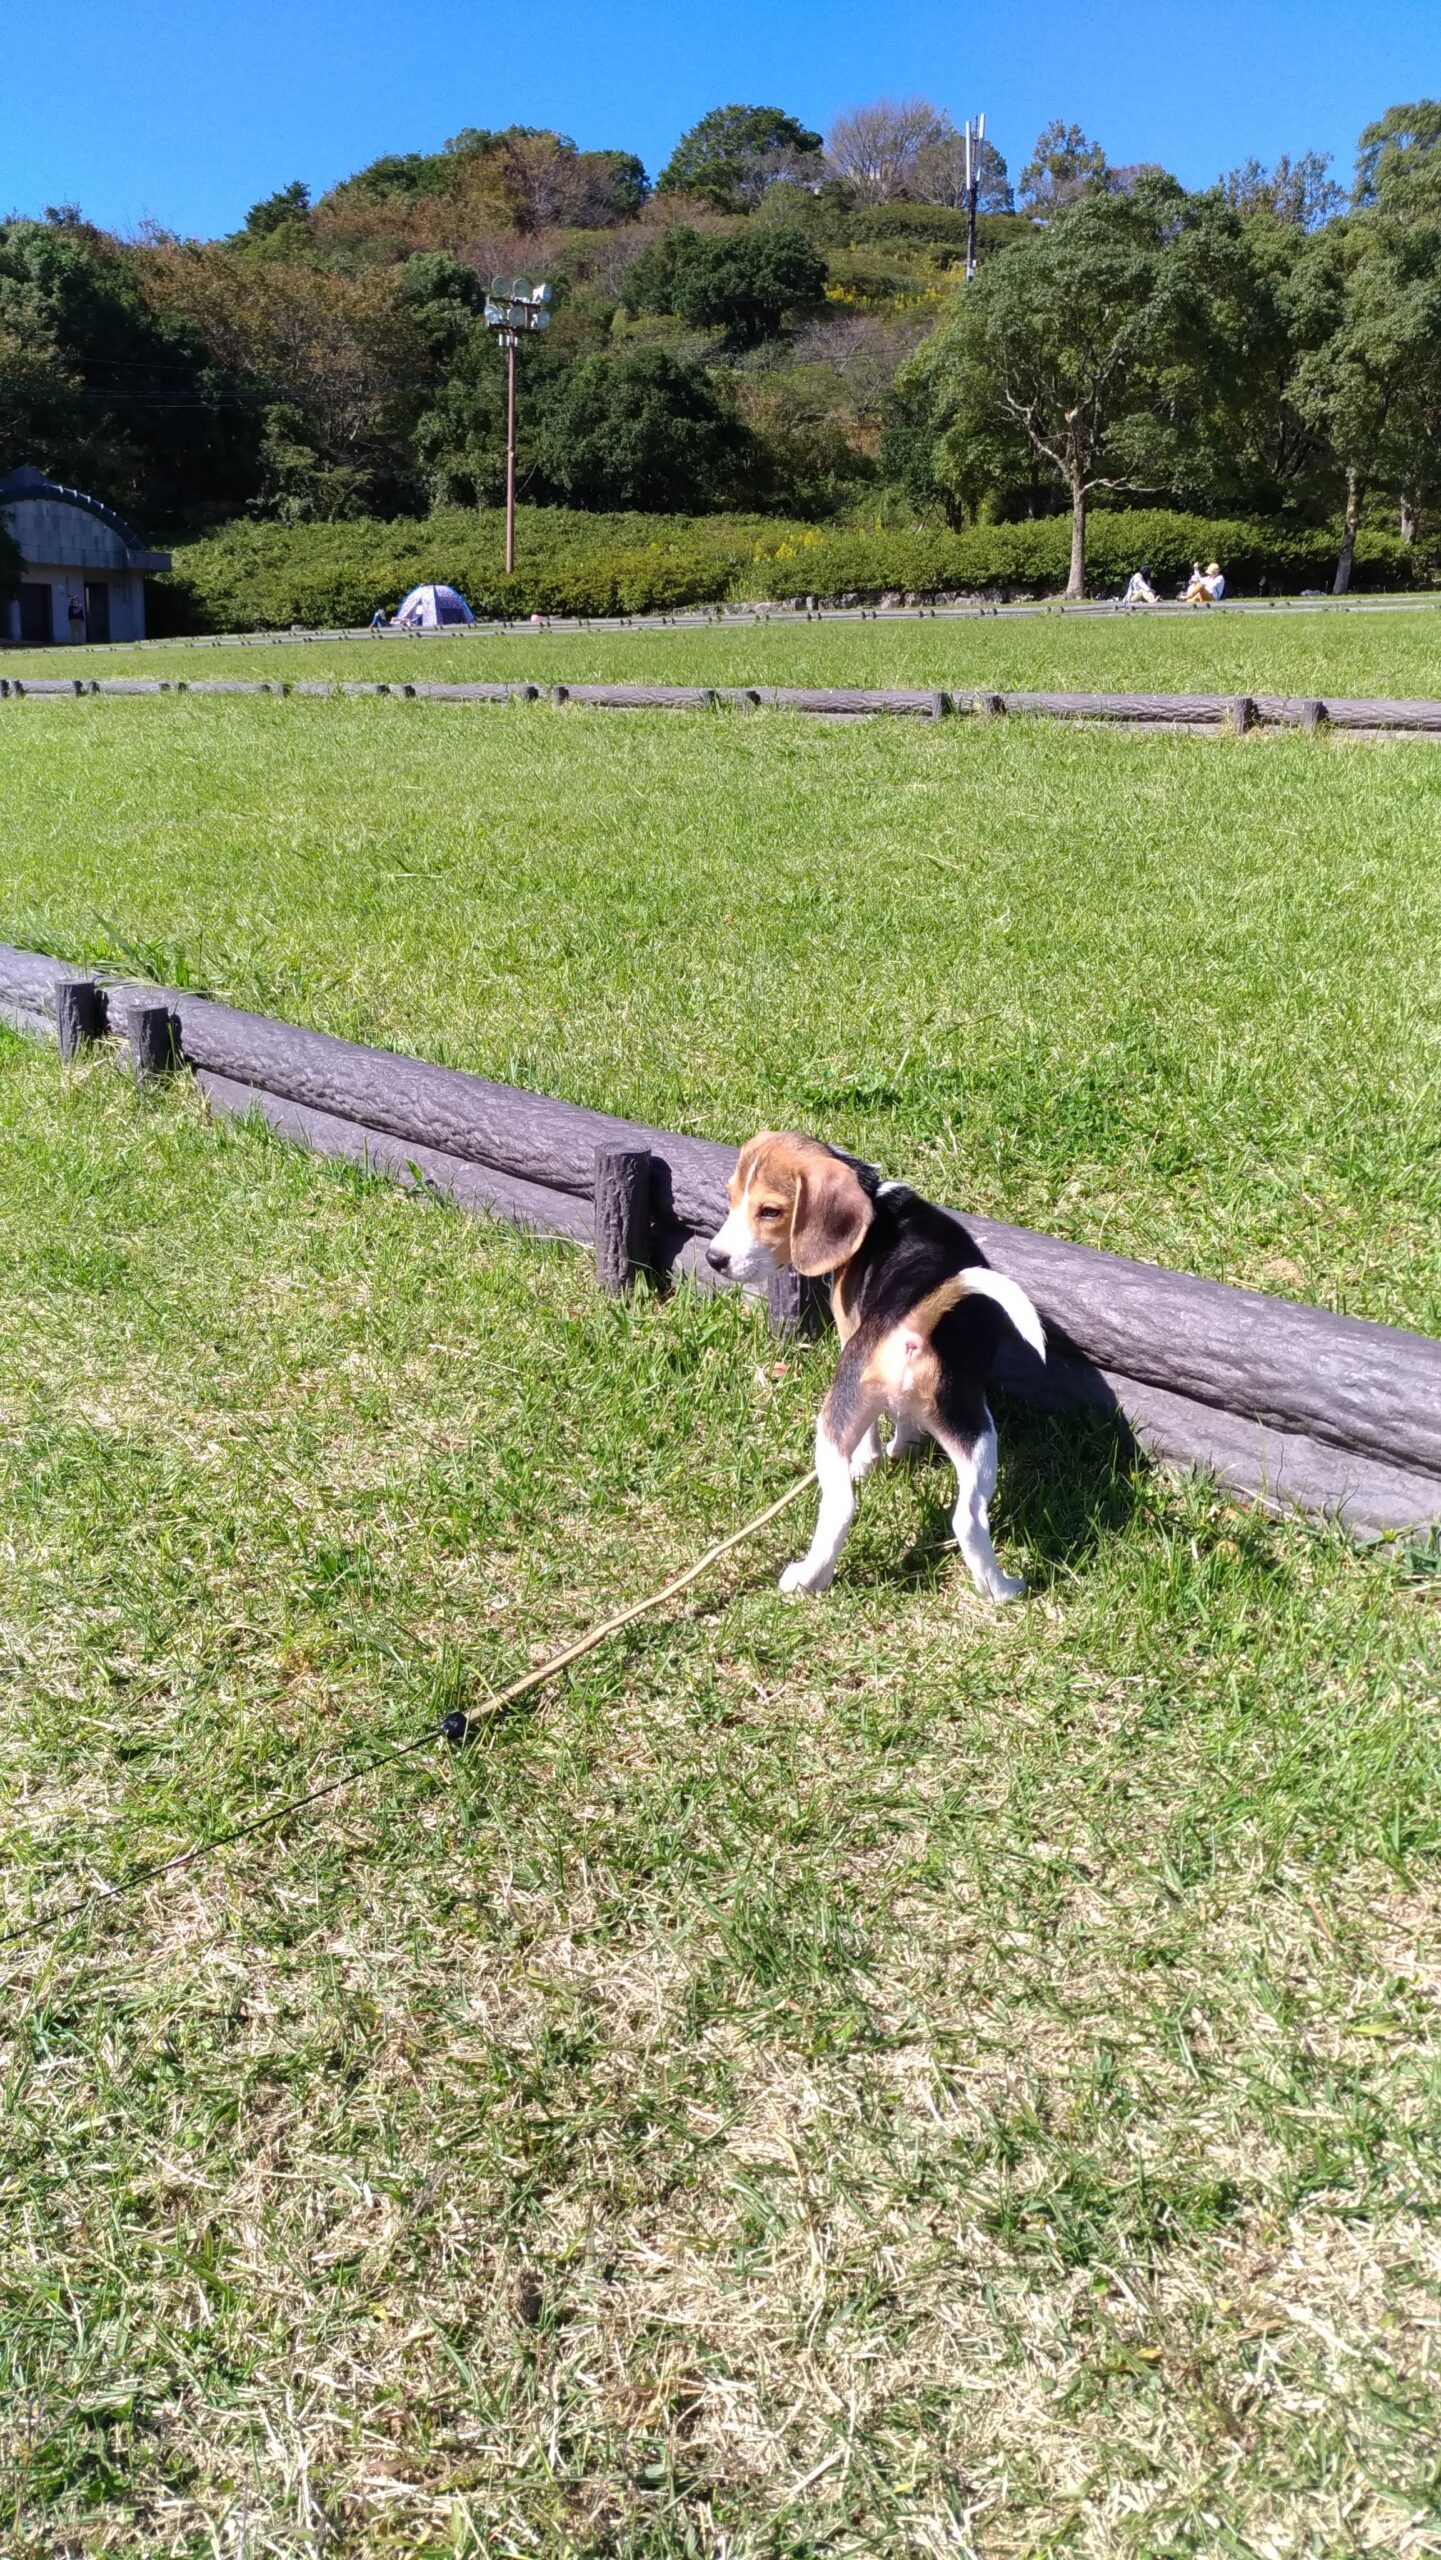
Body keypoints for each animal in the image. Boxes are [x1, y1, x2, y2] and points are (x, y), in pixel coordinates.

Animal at [706, 1141, 1044, 1597]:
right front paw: (906, 1450)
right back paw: (1002, 1590)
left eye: (770, 1211)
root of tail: (916, 1318)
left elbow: (871, 1435)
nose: (714, 1259)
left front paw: (871, 1461)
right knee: (970, 1518)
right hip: (976, 1433)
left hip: (837, 1416)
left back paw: (807, 1579)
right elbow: (904, 1421)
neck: (875, 1196)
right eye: (731, 1198)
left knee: (841, 1504)